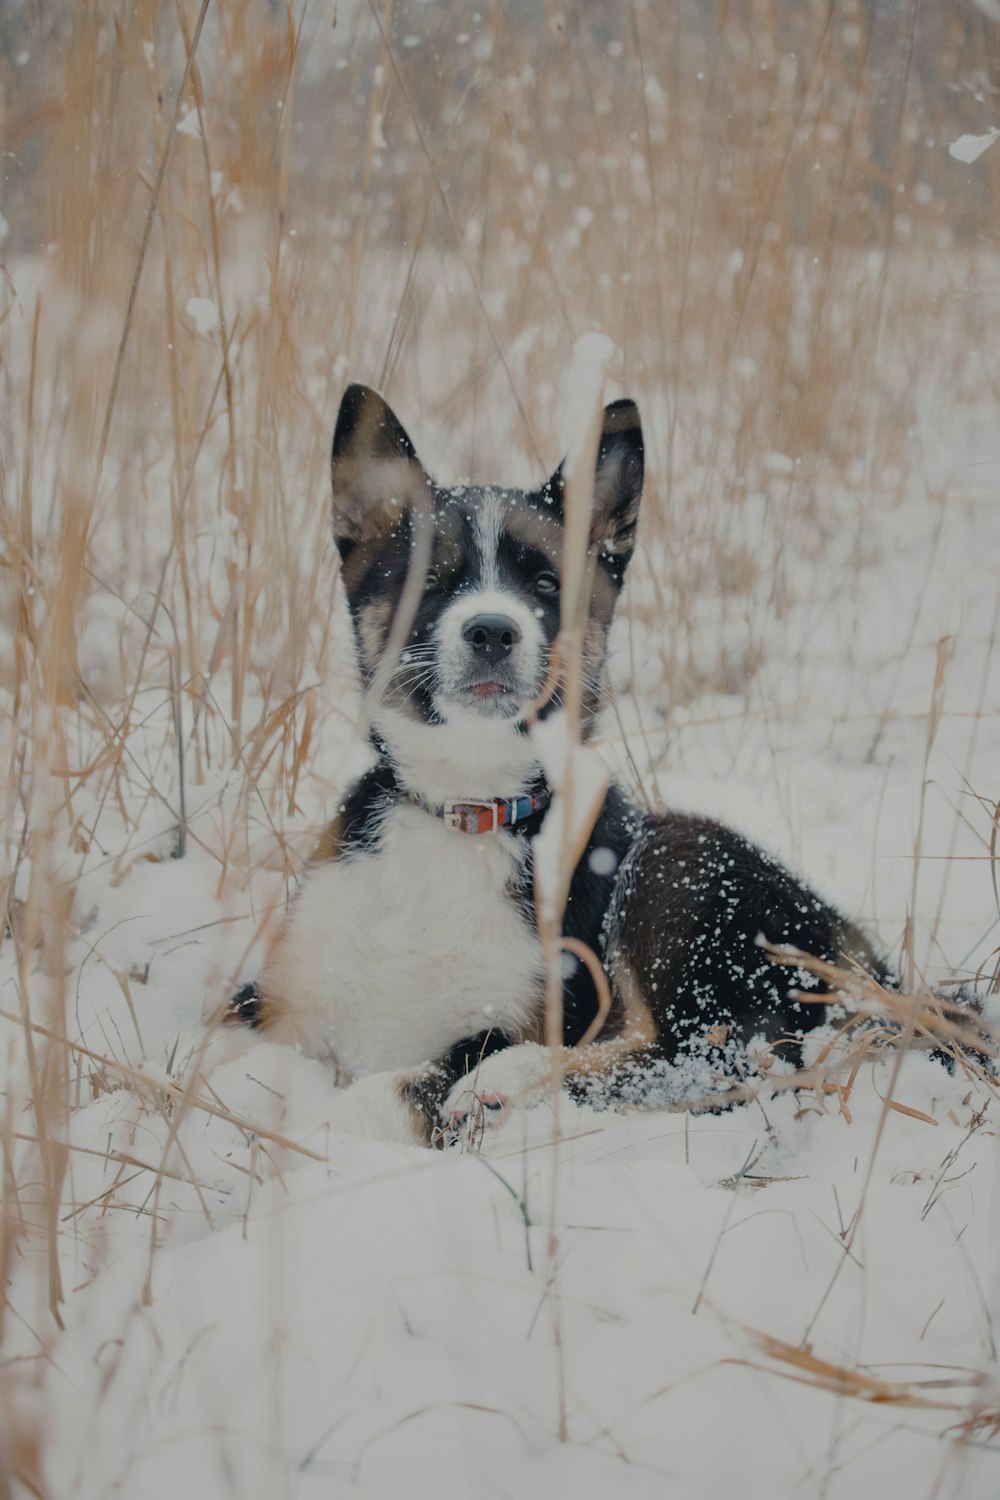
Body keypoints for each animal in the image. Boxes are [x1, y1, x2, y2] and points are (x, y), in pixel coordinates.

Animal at [226, 381, 899, 1140]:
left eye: (547, 585)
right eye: (434, 578)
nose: (493, 630)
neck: (466, 810)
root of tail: (883, 968)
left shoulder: (526, 1012)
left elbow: (405, 1085)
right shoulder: (278, 1001)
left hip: (675, 861)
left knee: (718, 1055)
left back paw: (504, 1083)